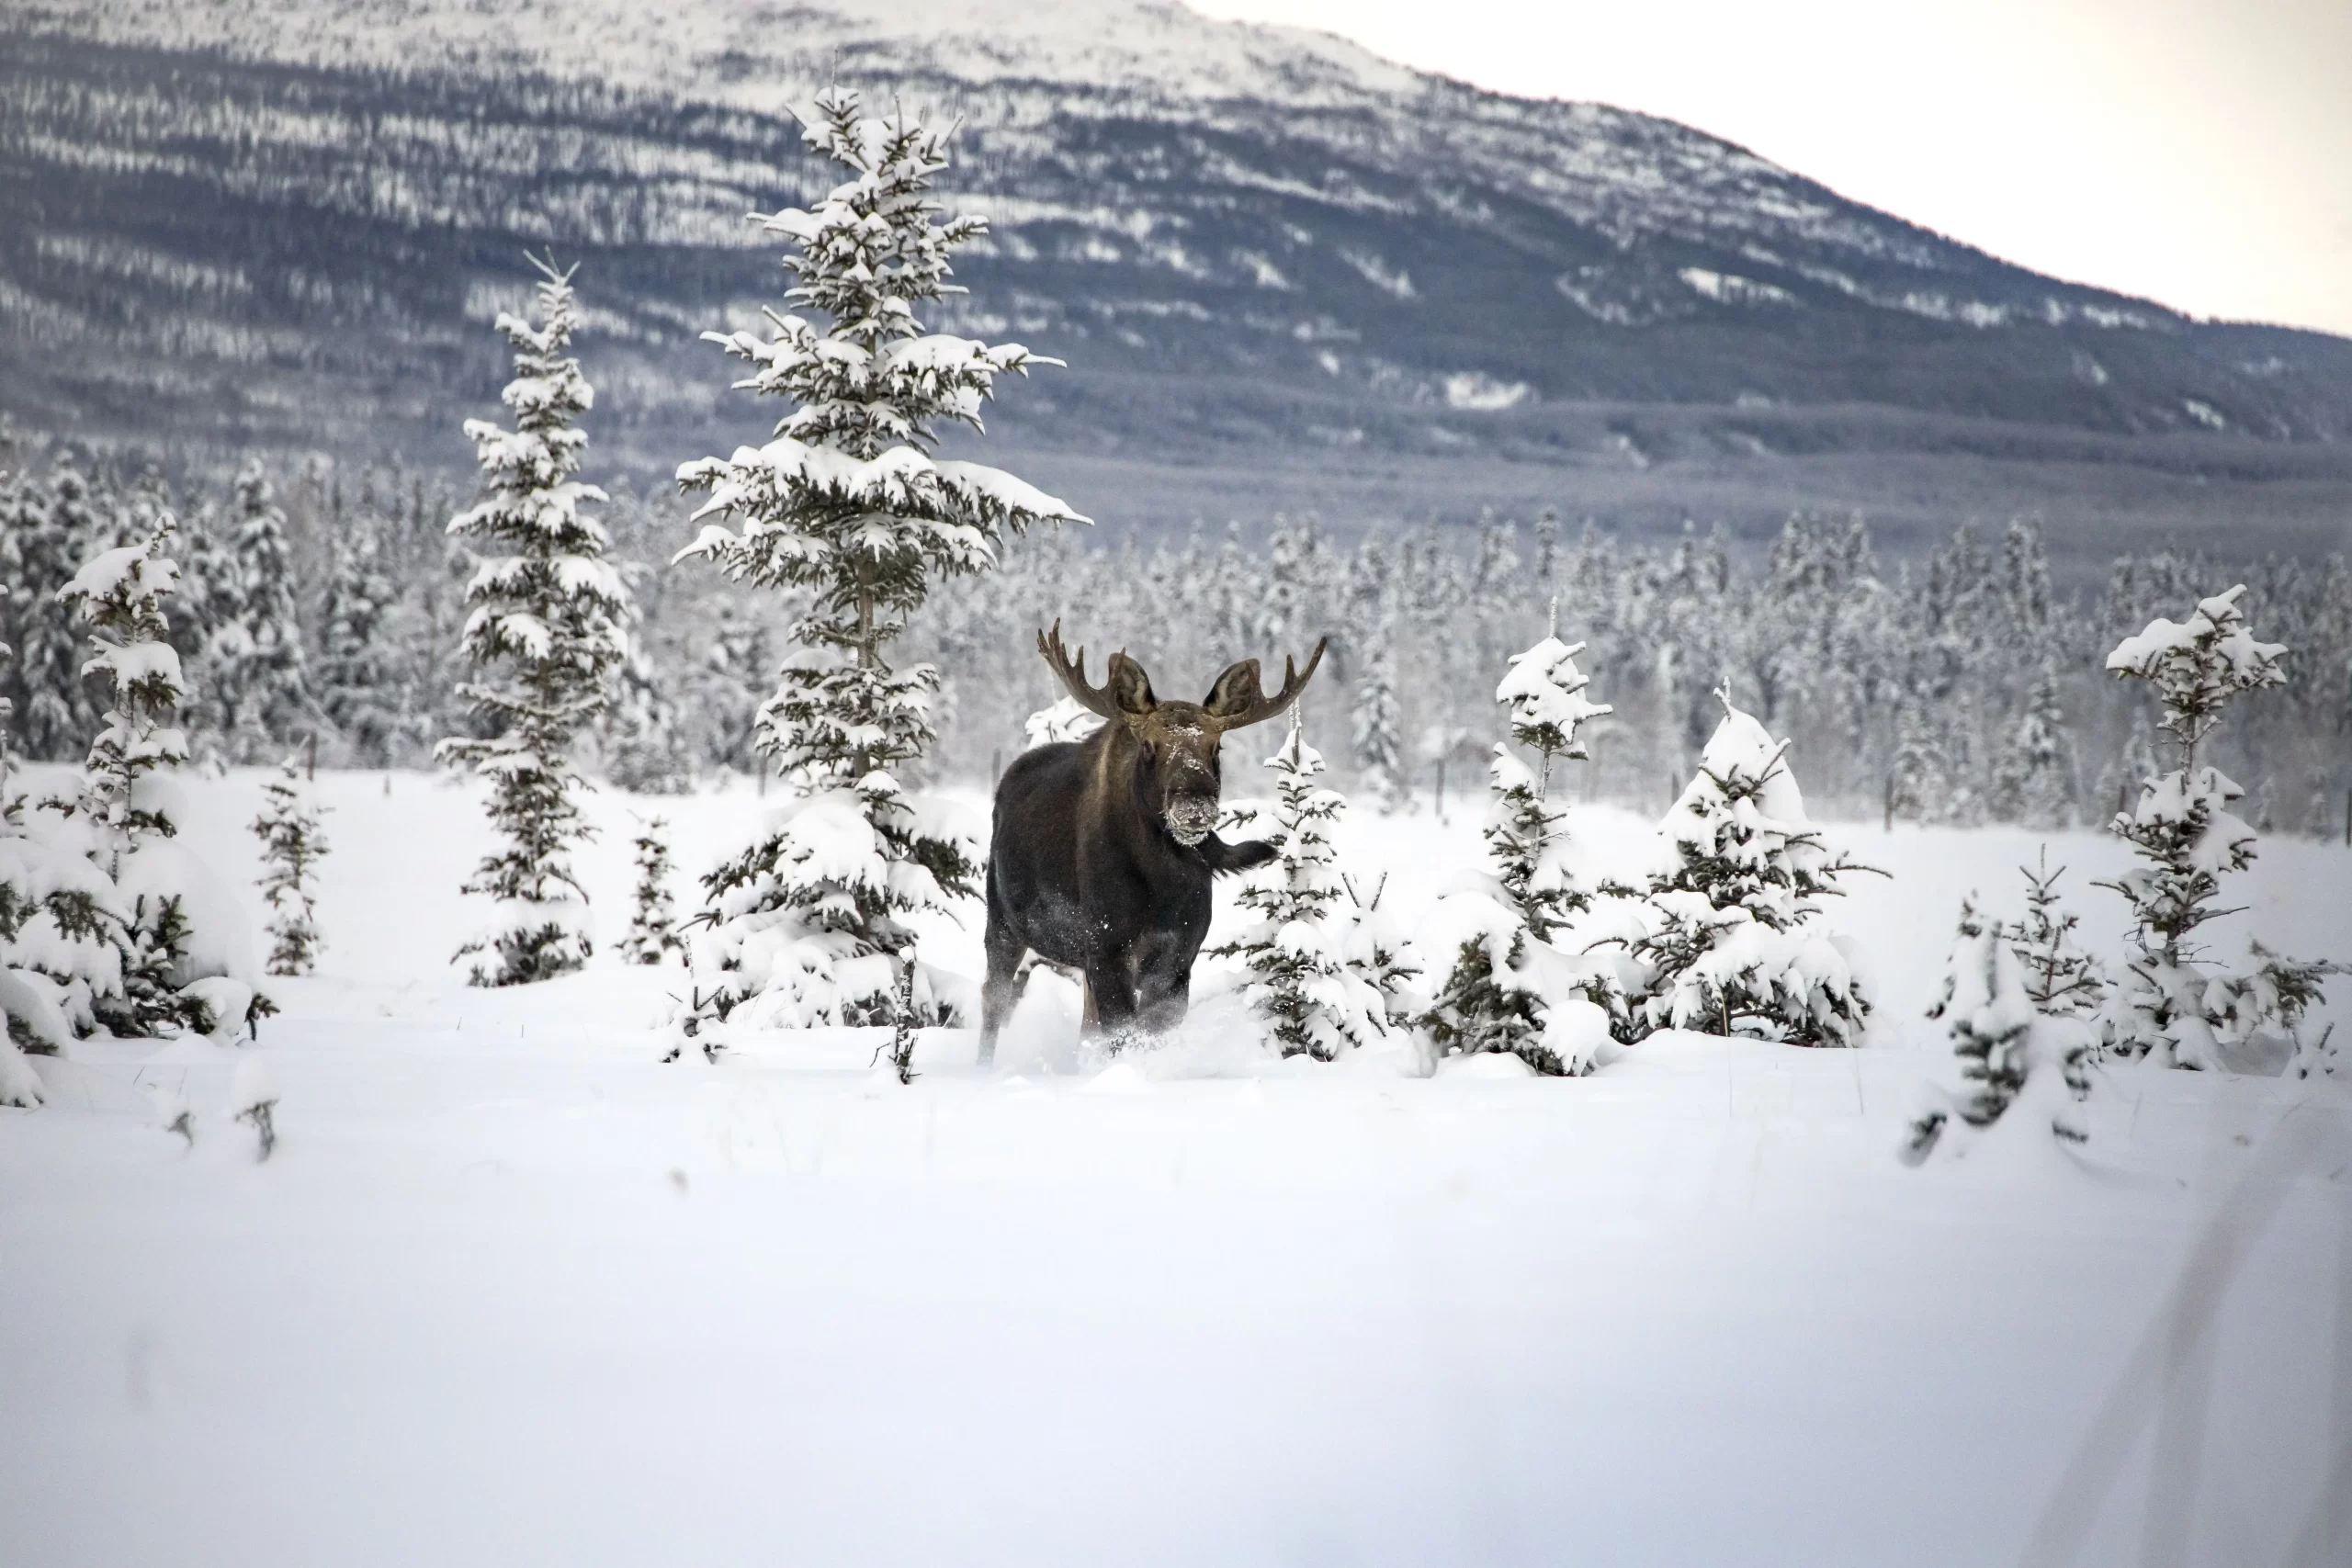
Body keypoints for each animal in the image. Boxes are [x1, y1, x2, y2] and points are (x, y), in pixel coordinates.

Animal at [973, 620, 1326, 1062]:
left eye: (1217, 746)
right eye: (1148, 745)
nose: (1195, 802)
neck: (1163, 887)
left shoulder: (1177, 959)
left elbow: (1149, 1032)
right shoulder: (1107, 948)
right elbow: (1122, 1034)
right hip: (1003, 922)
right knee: (993, 1000)